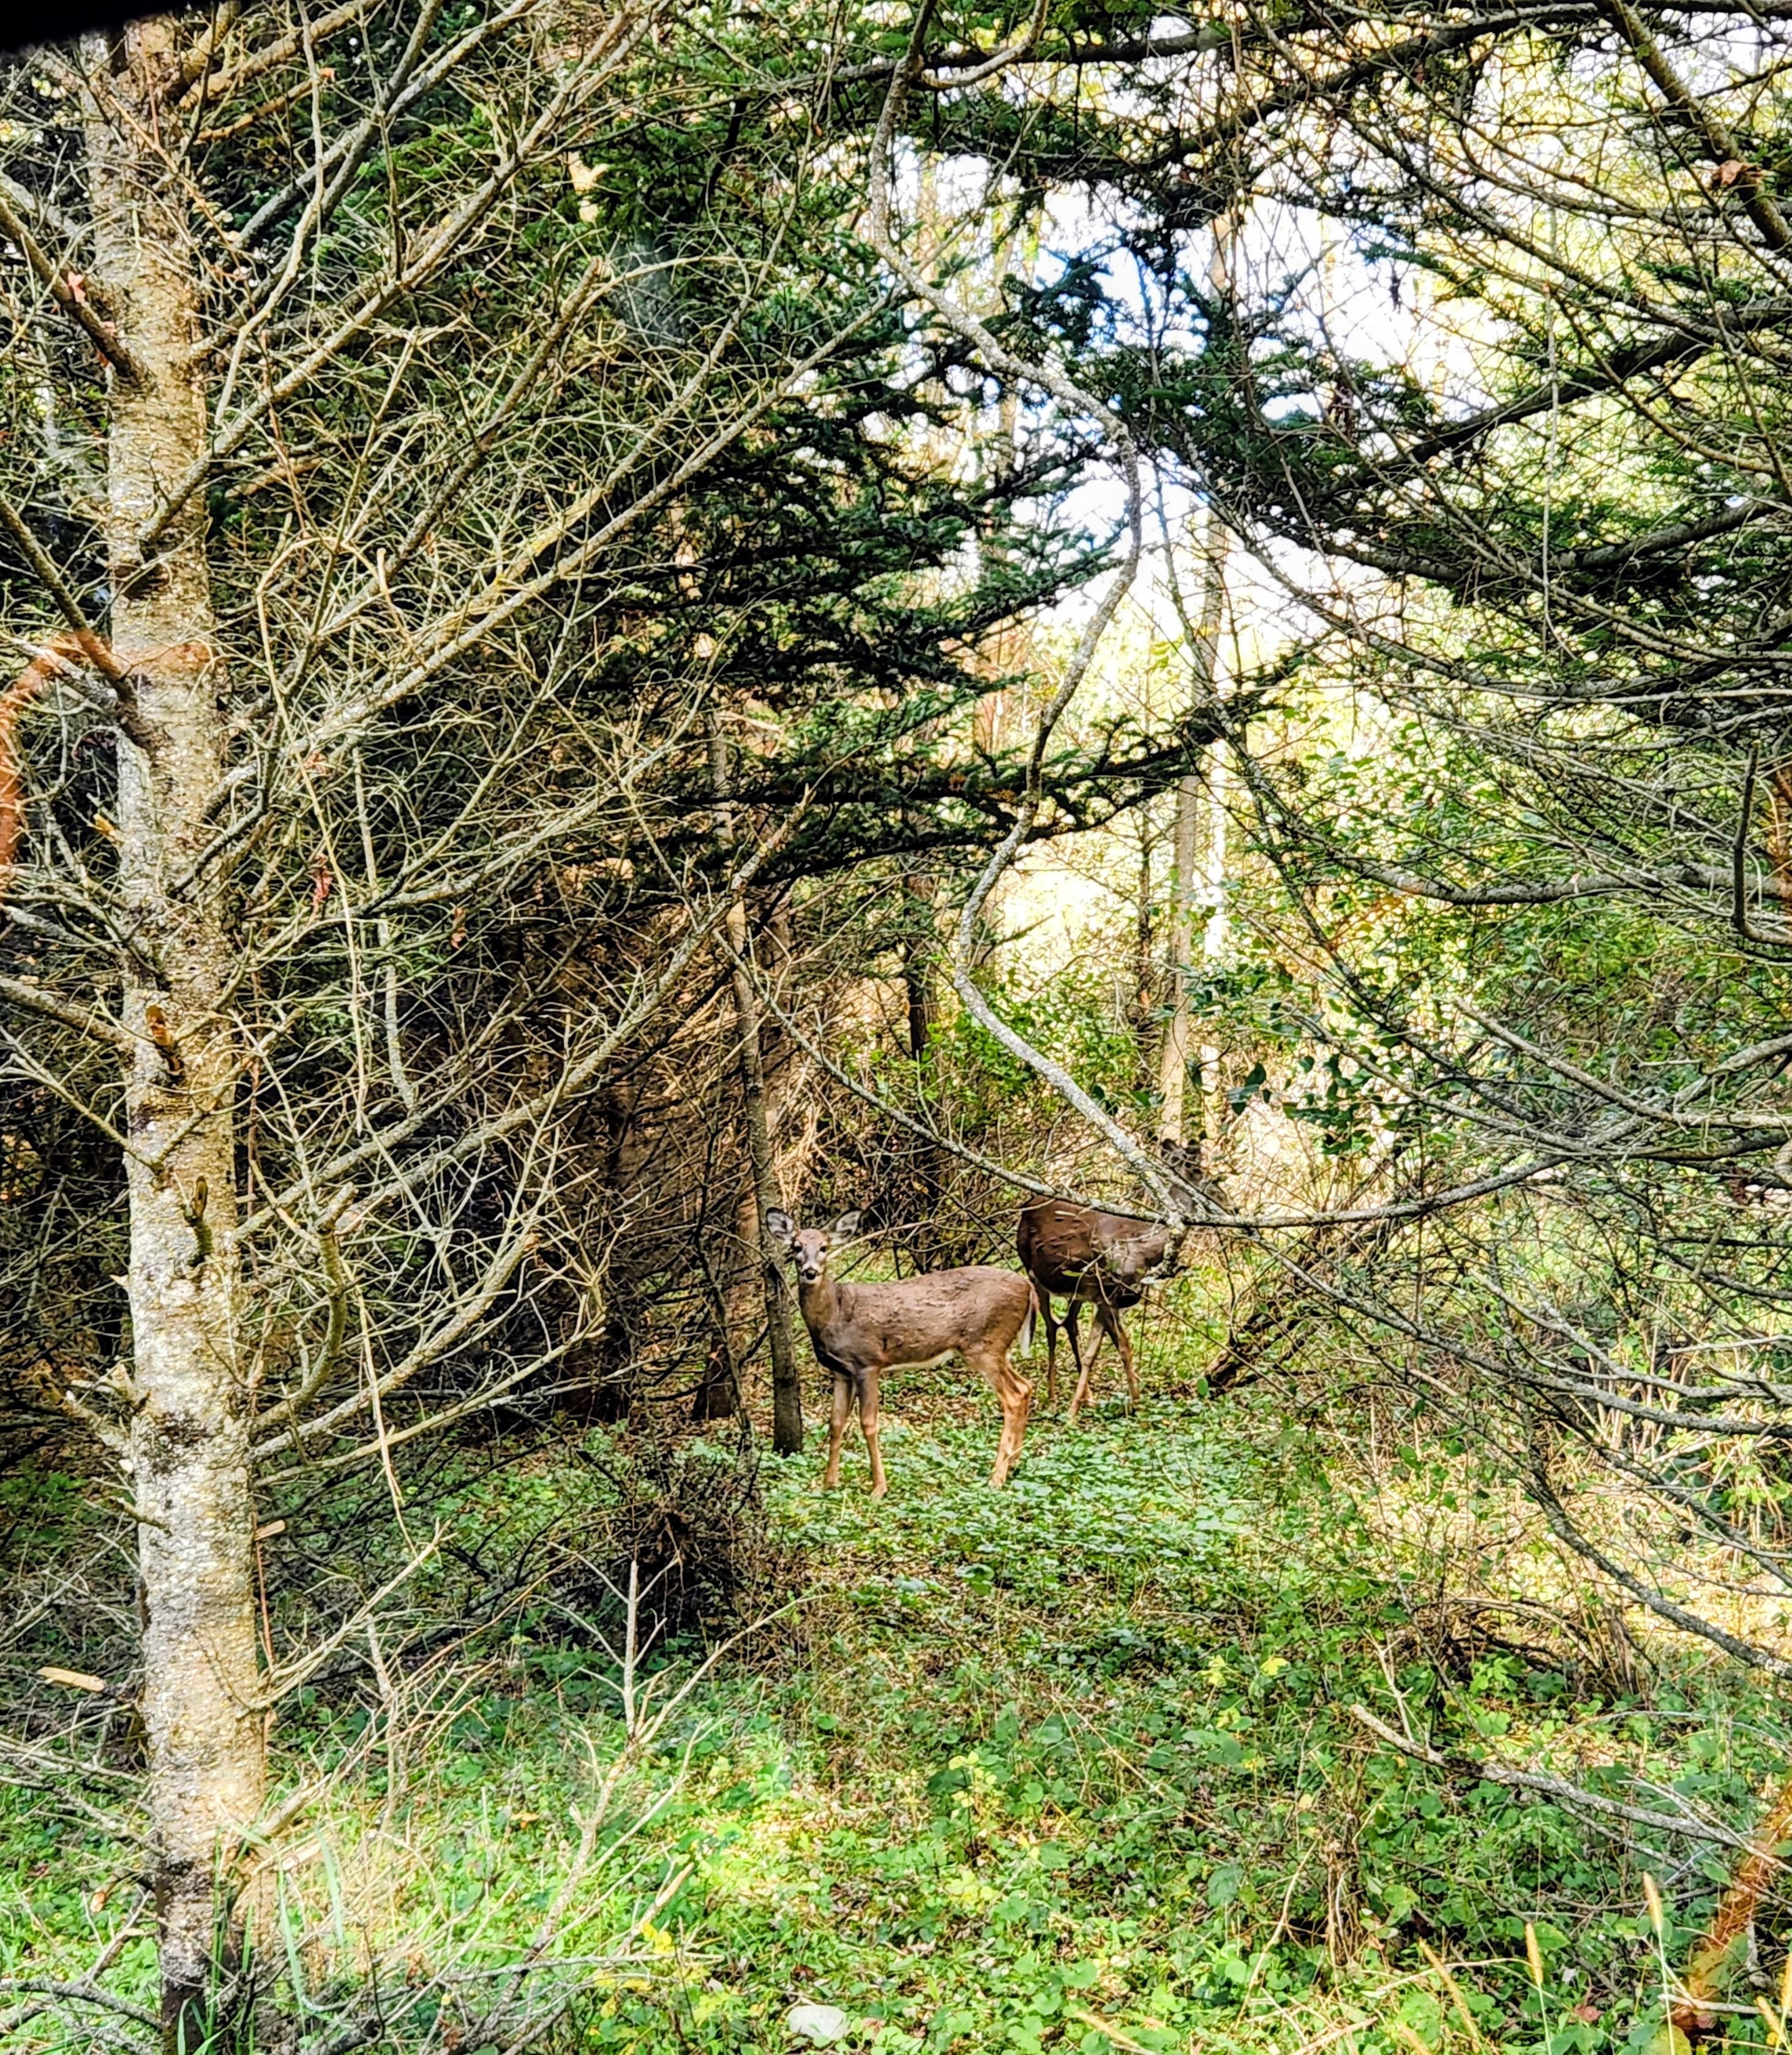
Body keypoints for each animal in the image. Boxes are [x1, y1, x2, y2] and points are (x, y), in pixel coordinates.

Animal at [765, 1209, 1039, 1496]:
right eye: (796, 1247)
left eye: (824, 1247)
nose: (810, 1272)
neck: (835, 1314)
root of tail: (1029, 1288)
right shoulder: (841, 1371)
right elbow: (836, 1422)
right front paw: (828, 1484)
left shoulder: (868, 1362)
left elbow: (869, 1423)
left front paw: (878, 1488)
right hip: (996, 1348)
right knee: (1026, 1386)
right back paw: (1013, 1465)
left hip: (984, 1344)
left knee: (1014, 1396)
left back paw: (997, 1477)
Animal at [1016, 1141, 1203, 1420]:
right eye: (1198, 1170)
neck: (1145, 1250)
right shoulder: (1108, 1296)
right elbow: (1123, 1347)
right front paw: (1137, 1405)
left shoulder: (1104, 1297)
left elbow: (1100, 1349)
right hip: (1035, 1275)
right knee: (1051, 1327)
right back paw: (1052, 1399)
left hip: (1077, 1289)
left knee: (1069, 1323)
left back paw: (1088, 1398)